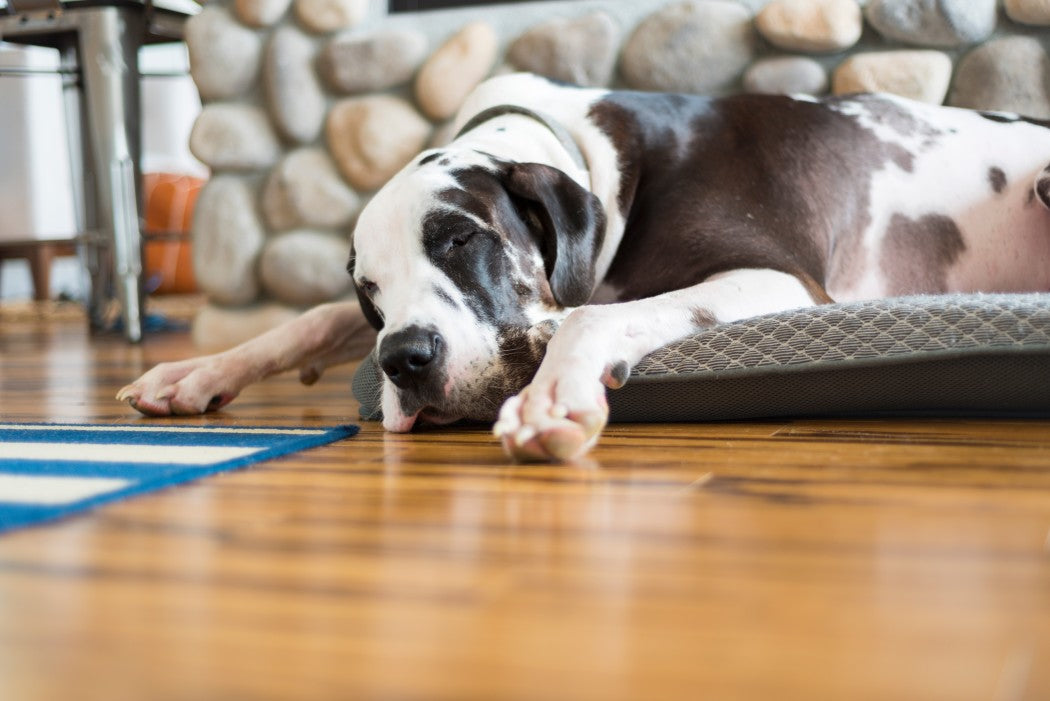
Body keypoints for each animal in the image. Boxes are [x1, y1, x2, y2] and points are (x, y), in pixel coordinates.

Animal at [114, 73, 1050, 461]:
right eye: (370, 293)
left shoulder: (779, 277)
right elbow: (305, 317)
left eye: (461, 239)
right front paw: (197, 373)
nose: (403, 361)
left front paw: (552, 397)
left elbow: (596, 311)